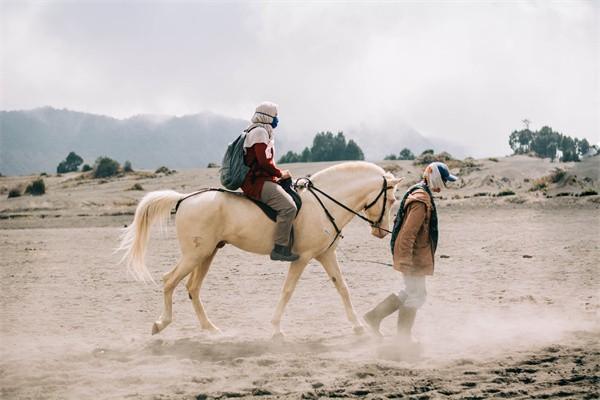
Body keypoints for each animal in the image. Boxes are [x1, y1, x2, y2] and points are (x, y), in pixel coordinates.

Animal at [118, 161, 404, 336]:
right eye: (391, 199)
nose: (381, 232)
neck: (324, 203)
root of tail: (184, 198)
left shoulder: (325, 255)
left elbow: (343, 288)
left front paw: (357, 327)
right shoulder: (302, 258)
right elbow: (287, 291)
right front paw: (276, 328)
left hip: (207, 254)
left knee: (192, 288)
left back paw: (210, 329)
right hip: (195, 255)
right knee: (169, 281)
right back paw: (161, 324)